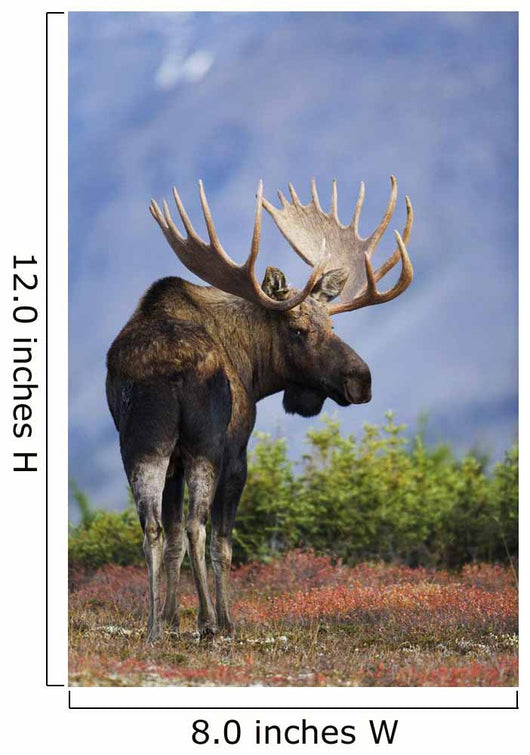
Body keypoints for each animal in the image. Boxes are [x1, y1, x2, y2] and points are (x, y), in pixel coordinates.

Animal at [106, 176, 413, 642]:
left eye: (333, 324)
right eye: (300, 330)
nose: (362, 380)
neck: (254, 369)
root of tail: (169, 367)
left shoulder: (172, 460)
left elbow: (172, 537)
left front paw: (170, 619)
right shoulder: (237, 451)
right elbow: (223, 543)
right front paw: (218, 621)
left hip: (142, 445)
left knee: (153, 528)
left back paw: (153, 629)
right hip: (205, 446)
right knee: (199, 528)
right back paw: (212, 623)